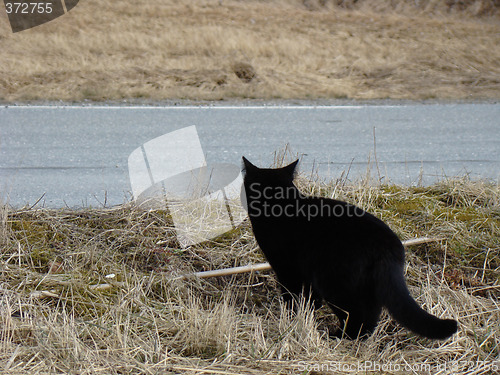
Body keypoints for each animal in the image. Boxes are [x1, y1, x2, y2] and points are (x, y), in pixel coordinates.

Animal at [242, 156, 458, 340]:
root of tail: (387, 244)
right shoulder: (304, 271)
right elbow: (310, 298)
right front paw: (308, 313)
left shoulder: (286, 268)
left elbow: (291, 295)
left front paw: (291, 317)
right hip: (366, 284)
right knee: (371, 314)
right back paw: (358, 336)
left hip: (334, 282)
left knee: (355, 313)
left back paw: (341, 336)